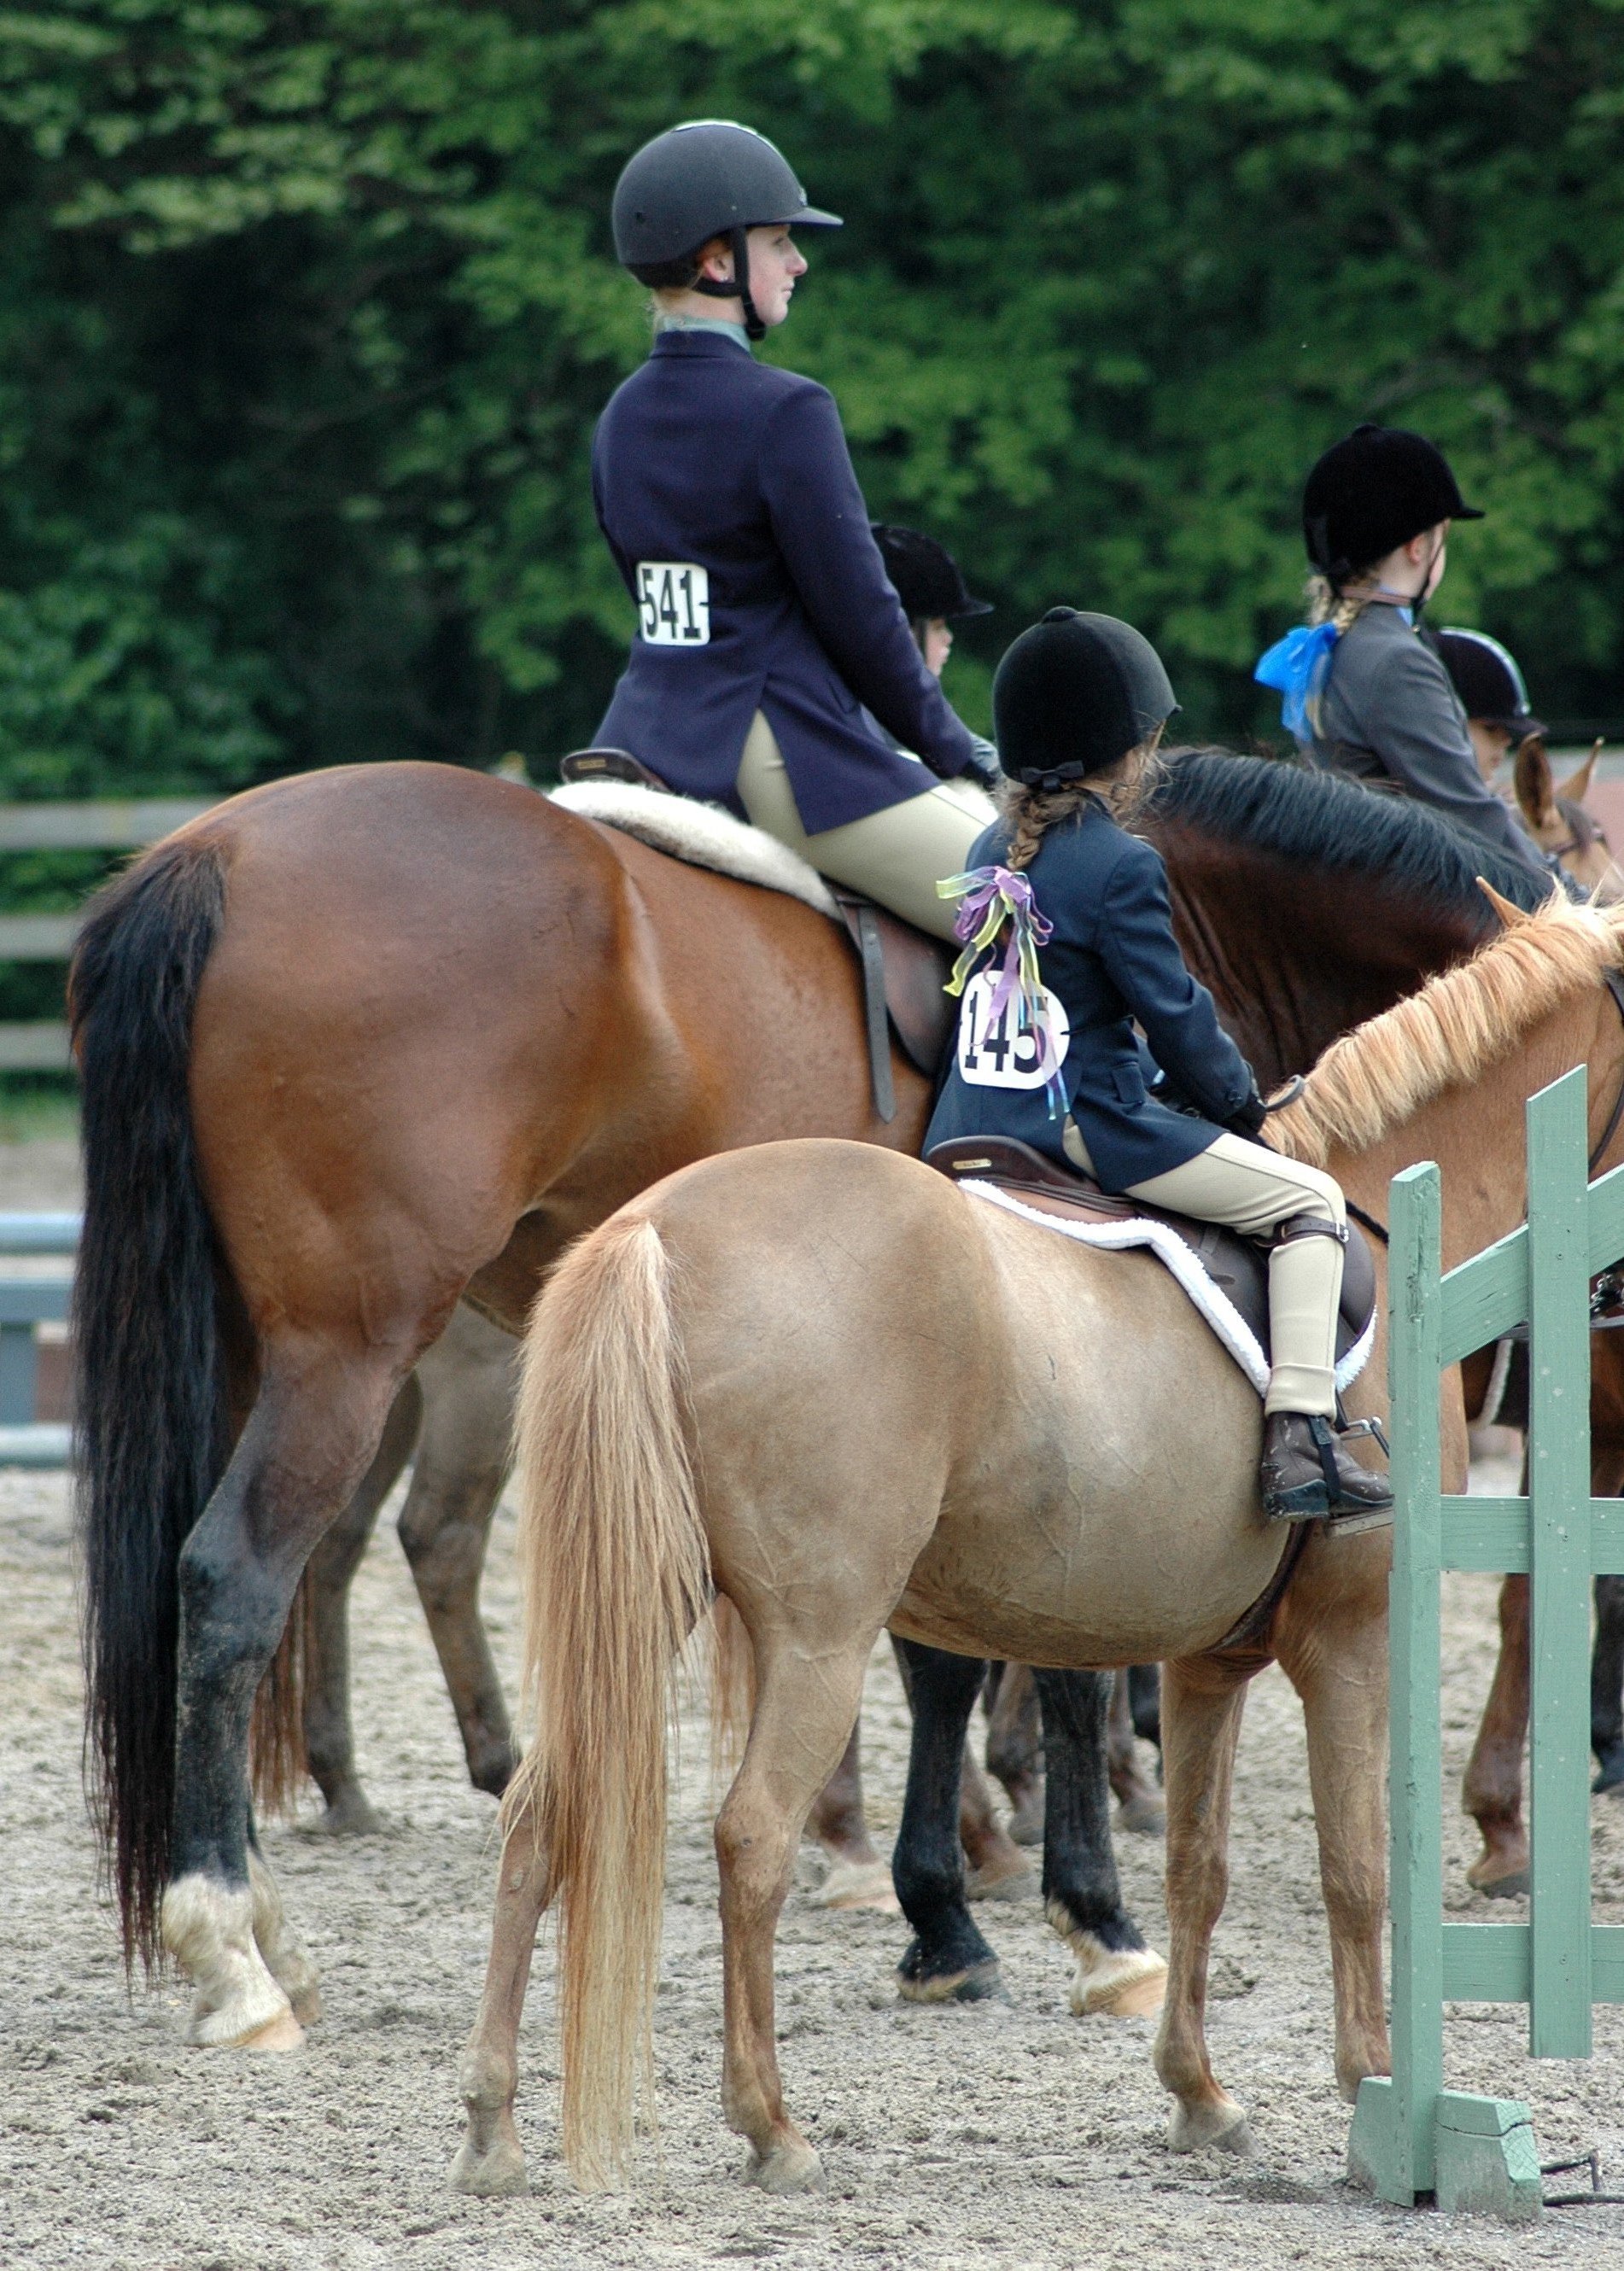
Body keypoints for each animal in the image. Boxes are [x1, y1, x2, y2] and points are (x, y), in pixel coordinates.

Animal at [452, 876, 1624, 2189]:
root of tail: (656, 1226)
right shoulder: (1349, 1634)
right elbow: (1356, 1865)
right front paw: (1373, 2089)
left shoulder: (1209, 1657)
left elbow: (1197, 1866)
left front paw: (1200, 2095)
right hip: (817, 1637)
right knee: (751, 1838)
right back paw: (772, 2126)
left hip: (643, 1602)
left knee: (540, 1812)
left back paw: (493, 2127)